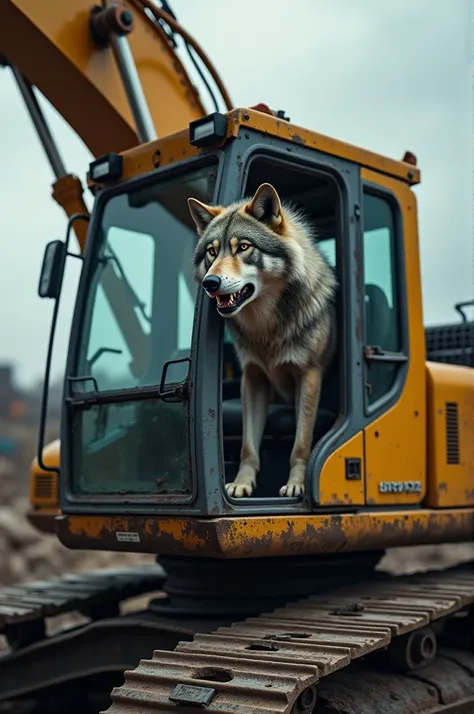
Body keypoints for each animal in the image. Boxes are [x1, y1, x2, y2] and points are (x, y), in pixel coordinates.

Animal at [187, 181, 338, 498]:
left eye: (243, 247)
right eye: (212, 252)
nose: (210, 283)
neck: (266, 327)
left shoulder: (309, 376)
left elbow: (301, 443)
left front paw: (296, 485)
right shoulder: (253, 377)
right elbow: (248, 446)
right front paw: (242, 484)